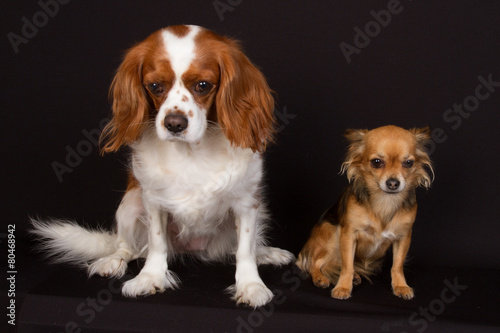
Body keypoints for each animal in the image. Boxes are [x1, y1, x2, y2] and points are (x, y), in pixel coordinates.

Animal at [296, 126, 434, 300]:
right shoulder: (348, 234)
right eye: (377, 162)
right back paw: (320, 278)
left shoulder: (403, 237)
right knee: (314, 263)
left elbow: (397, 265)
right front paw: (343, 287)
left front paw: (401, 286)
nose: (393, 183)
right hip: (332, 232)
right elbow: (347, 266)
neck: (385, 201)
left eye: (408, 163)